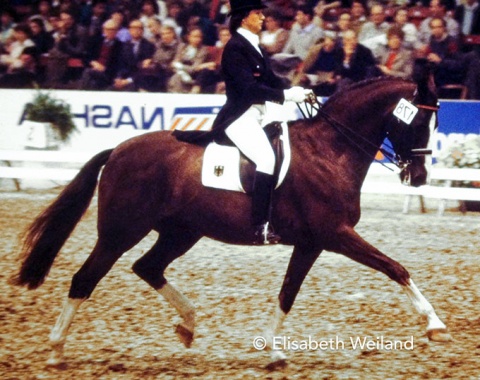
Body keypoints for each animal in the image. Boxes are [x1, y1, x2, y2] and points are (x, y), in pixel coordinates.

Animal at [13, 75, 452, 366]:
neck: (331, 150)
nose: (419, 177)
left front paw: (273, 350)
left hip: (181, 232)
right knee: (85, 279)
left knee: (148, 267)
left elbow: (287, 293)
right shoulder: (337, 235)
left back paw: (188, 325)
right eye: (419, 122)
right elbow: (395, 267)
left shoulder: (312, 242)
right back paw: (56, 350)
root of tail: (119, 149)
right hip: (121, 231)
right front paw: (434, 323)